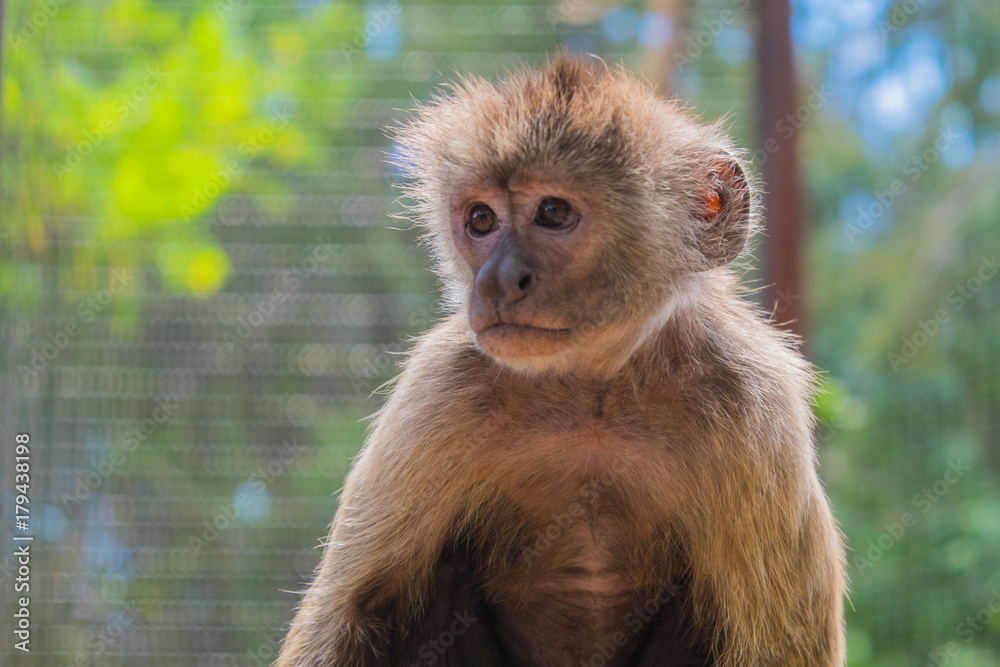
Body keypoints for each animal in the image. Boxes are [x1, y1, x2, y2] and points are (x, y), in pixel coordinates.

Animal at [276, 56, 846, 667]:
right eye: (481, 220)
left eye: (552, 212)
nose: (497, 282)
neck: (594, 388)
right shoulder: (441, 386)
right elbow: (348, 617)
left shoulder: (750, 397)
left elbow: (775, 645)